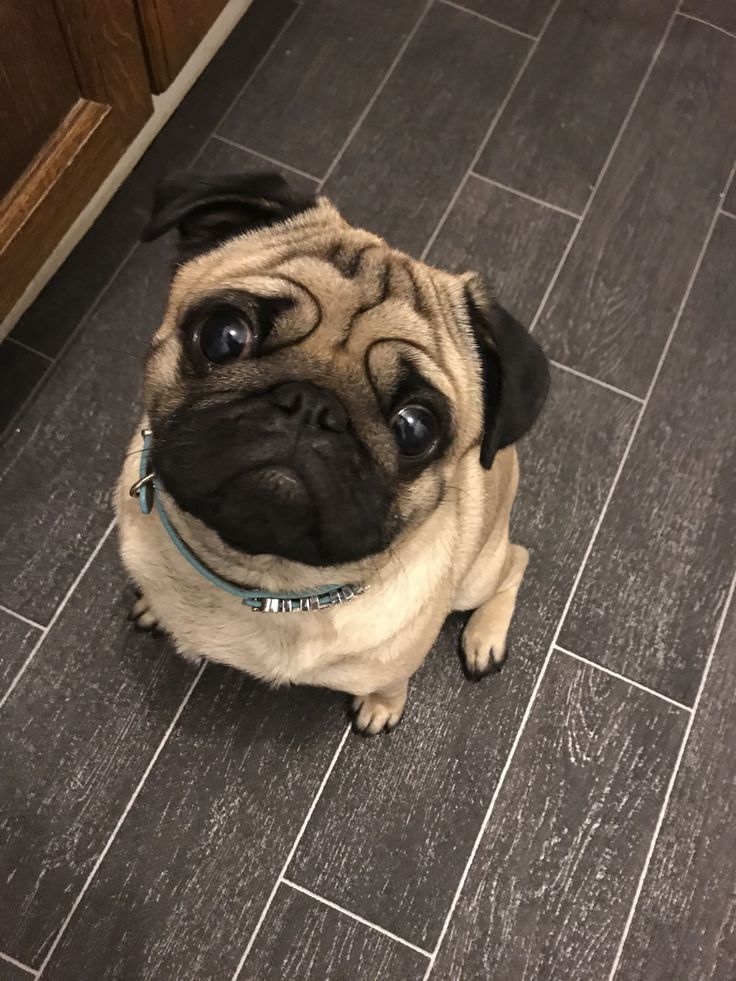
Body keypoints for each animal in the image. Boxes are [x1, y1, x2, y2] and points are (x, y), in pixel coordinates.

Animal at [118, 170, 548, 736]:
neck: (263, 580)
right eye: (224, 335)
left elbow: (391, 679)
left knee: (516, 561)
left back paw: (484, 638)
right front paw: (155, 607)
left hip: (476, 575)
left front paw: (381, 705)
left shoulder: (398, 654)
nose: (313, 407)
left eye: (415, 427)